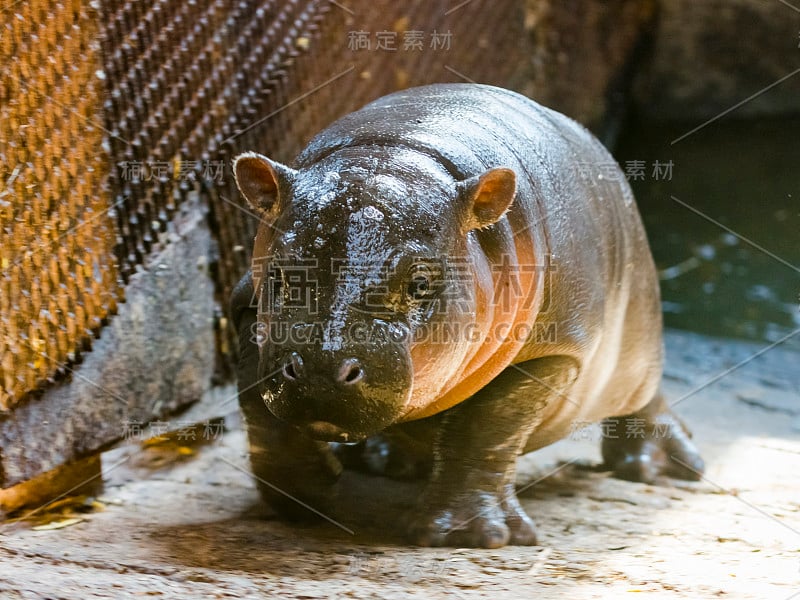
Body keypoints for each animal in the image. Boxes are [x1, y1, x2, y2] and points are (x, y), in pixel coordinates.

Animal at [228, 83, 704, 548]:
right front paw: (304, 501)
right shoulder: (246, 309)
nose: (320, 370)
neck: (400, 152)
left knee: (645, 397)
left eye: (421, 282)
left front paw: (466, 535)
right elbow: (262, 412)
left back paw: (662, 467)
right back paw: (382, 460)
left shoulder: (554, 353)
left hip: (639, 336)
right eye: (281, 273)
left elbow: (488, 425)